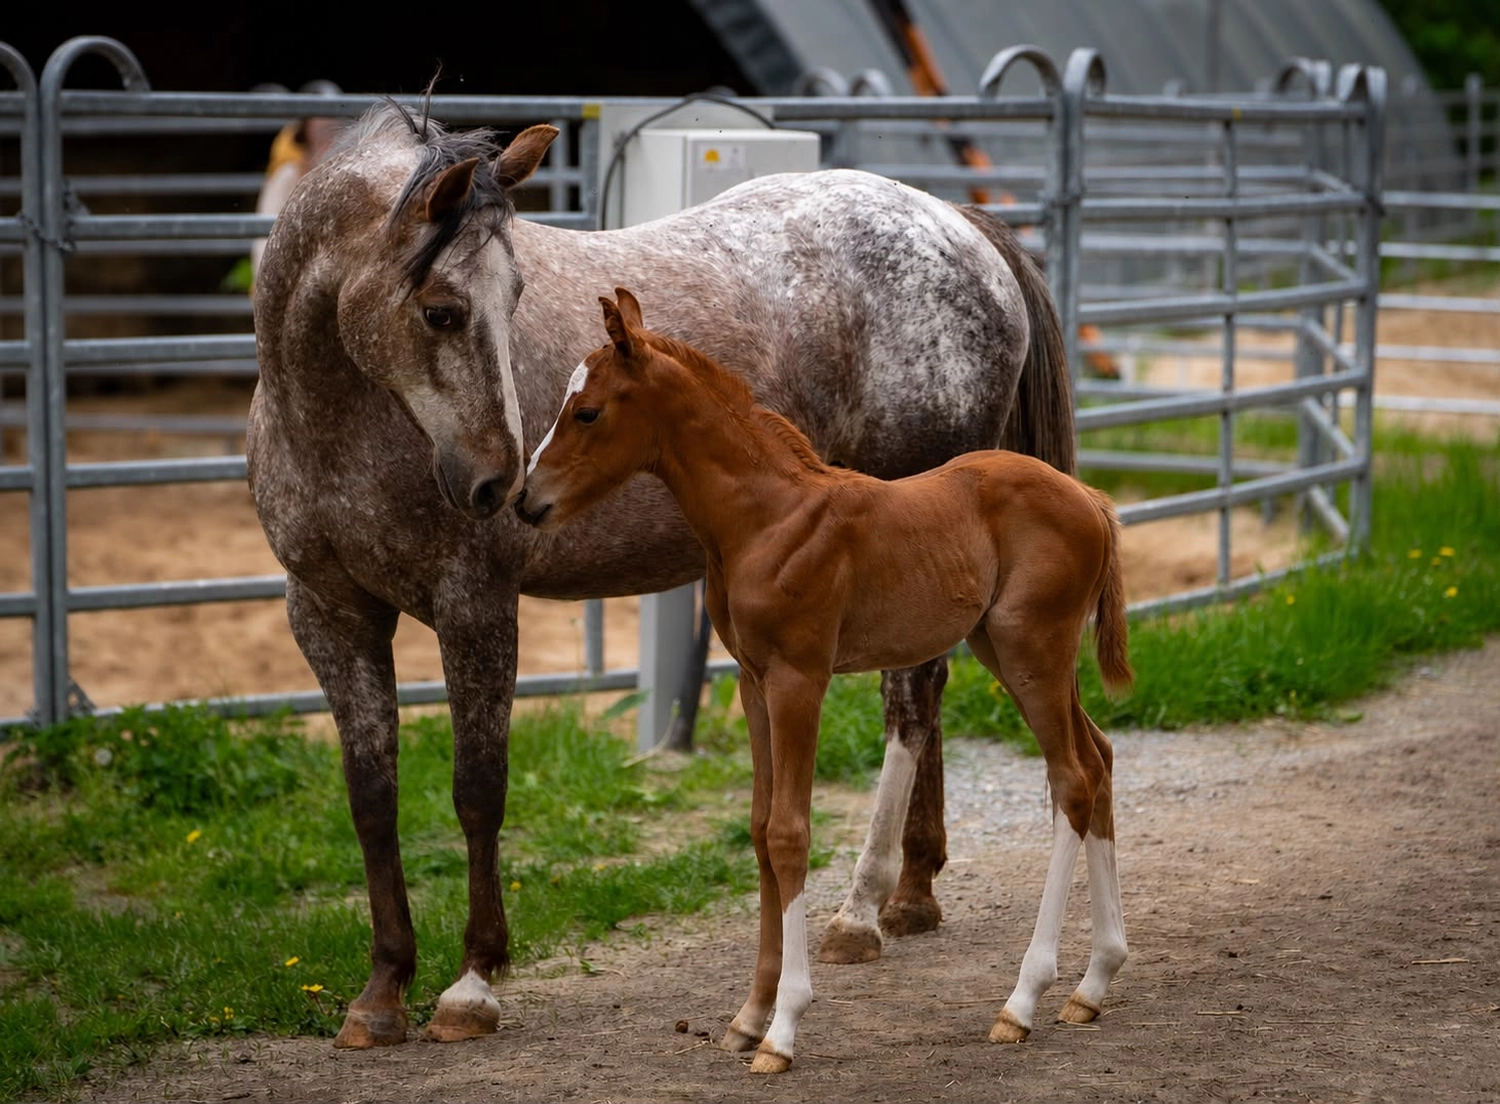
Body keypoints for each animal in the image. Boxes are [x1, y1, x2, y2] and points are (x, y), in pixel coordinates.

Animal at [247, 100, 1076, 1049]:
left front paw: (472, 984)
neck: (331, 424)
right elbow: (372, 798)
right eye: (443, 311)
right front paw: (382, 991)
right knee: (923, 697)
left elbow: (476, 791)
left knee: (909, 706)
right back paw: (911, 894)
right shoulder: (328, 614)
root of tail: (957, 225)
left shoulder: (475, 608)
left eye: (513, 297)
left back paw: (860, 911)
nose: (498, 484)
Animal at [518, 288, 1131, 1072]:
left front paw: (782, 1028)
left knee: (1071, 780)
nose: (526, 501)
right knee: (1098, 759)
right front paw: (748, 1016)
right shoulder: (752, 682)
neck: (765, 519)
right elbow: (758, 829)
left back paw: (1023, 1001)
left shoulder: (799, 678)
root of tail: (1091, 500)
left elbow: (789, 833)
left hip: (1034, 649)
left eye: (588, 412)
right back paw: (1094, 984)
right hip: (1004, 647)